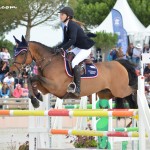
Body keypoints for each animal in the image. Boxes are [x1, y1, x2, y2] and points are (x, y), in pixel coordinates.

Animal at [9, 36, 138, 109]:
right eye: (14, 51)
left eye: (22, 53)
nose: (12, 72)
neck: (50, 61)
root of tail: (119, 63)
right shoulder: (47, 88)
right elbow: (32, 79)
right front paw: (37, 98)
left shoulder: (56, 86)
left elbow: (34, 77)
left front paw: (36, 100)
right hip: (105, 93)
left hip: (120, 90)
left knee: (133, 90)